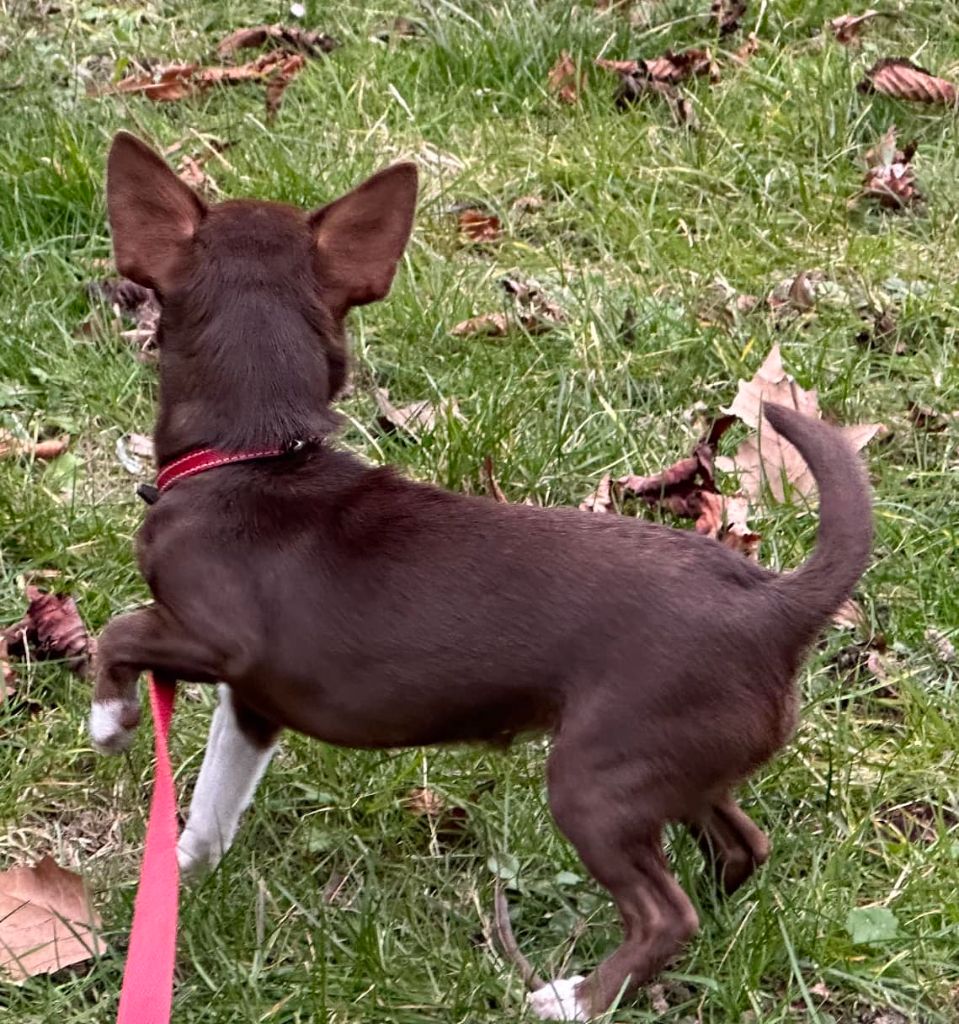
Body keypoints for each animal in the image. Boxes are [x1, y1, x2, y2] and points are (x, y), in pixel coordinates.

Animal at [90, 131, 872, 1021]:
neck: (256, 453)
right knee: (740, 846)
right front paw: (176, 880)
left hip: (594, 779)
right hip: (680, 767)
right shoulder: (252, 706)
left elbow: (118, 631)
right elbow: (213, 801)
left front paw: (111, 721)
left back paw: (577, 997)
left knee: (663, 911)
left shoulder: (212, 637)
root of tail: (773, 604)